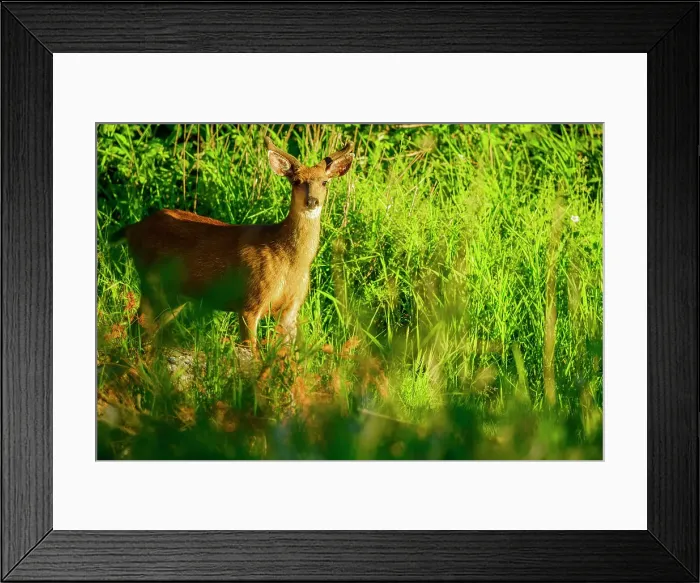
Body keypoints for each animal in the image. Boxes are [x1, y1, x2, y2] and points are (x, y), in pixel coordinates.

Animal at [111, 136, 355, 355]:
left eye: (324, 182)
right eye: (296, 181)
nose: (312, 201)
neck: (289, 259)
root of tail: (133, 228)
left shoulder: (291, 309)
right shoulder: (250, 301)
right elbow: (252, 351)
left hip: (174, 295)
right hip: (153, 281)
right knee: (139, 326)